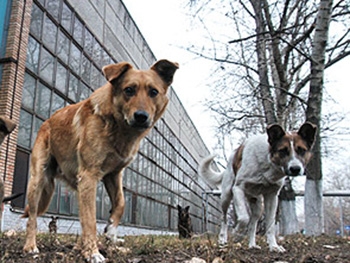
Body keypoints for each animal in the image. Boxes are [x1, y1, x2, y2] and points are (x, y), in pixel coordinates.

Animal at [22, 59, 178, 262]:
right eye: (129, 90)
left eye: (153, 92)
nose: (141, 117)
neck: (118, 127)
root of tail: (46, 122)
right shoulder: (89, 175)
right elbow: (90, 220)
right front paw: (92, 253)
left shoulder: (113, 175)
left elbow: (120, 203)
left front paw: (111, 231)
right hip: (38, 180)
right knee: (32, 217)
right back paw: (30, 246)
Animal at [200, 122, 318, 253]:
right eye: (283, 151)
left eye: (302, 150)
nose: (295, 169)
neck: (268, 162)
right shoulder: (238, 189)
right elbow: (244, 218)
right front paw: (237, 235)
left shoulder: (272, 197)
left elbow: (270, 225)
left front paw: (274, 246)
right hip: (226, 196)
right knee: (224, 218)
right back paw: (222, 239)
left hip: (257, 205)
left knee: (253, 223)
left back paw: (252, 245)